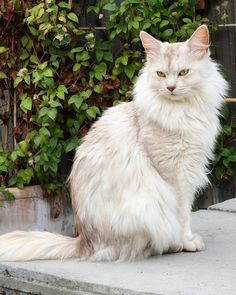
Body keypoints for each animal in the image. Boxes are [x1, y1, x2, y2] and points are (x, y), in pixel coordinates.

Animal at [0, 24, 229, 262]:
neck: (182, 111)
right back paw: (171, 246)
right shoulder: (176, 175)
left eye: (183, 73)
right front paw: (187, 242)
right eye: (161, 74)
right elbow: (183, 215)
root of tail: (83, 243)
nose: (171, 87)